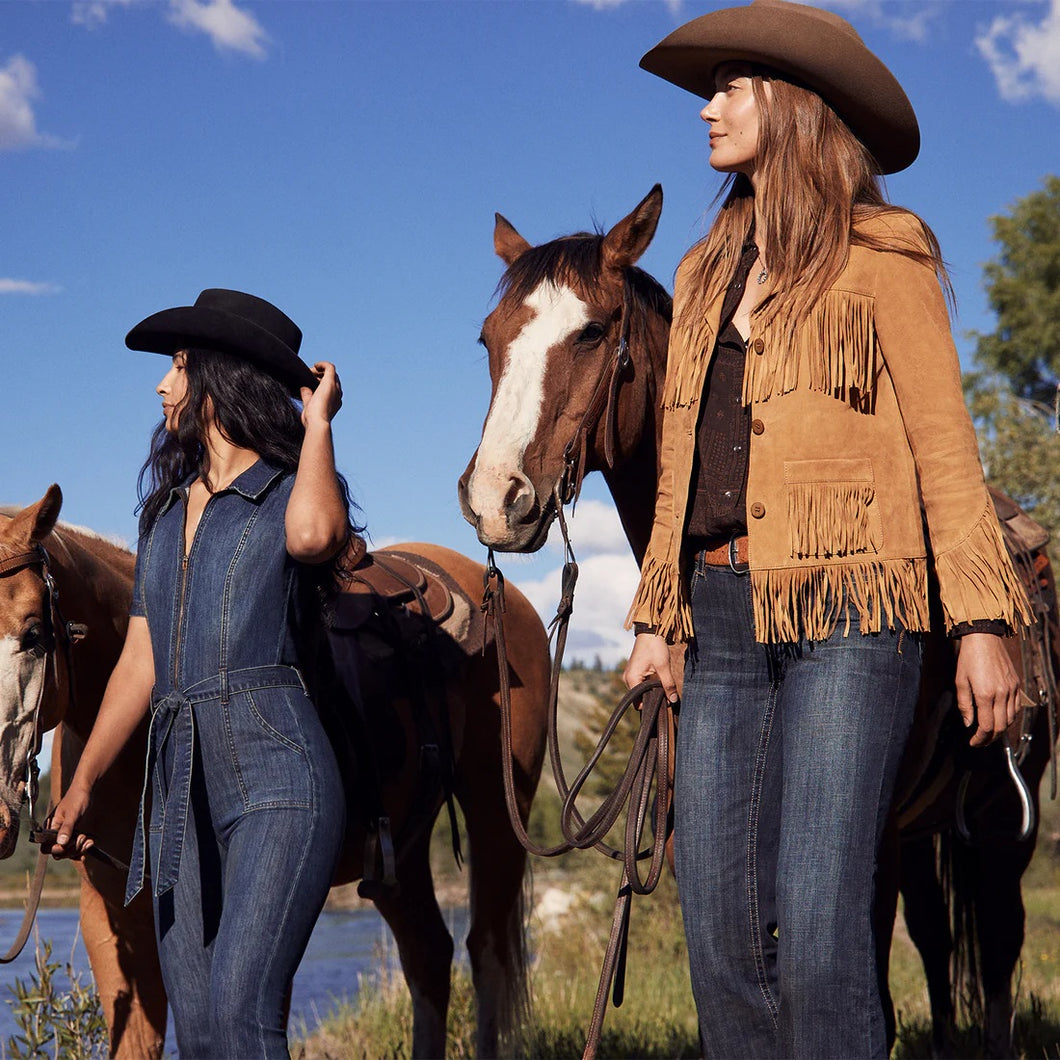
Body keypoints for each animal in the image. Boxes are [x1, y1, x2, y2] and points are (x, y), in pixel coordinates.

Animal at [0, 487, 546, 1060]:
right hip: (402, 852)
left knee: (486, 953)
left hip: (498, 815)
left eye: (34, 633)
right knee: (429, 957)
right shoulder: (110, 916)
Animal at [462, 186, 1060, 1055]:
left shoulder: (865, 846)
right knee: (937, 939)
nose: (494, 500)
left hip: (995, 820)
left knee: (999, 950)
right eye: (489, 338)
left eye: (593, 332)